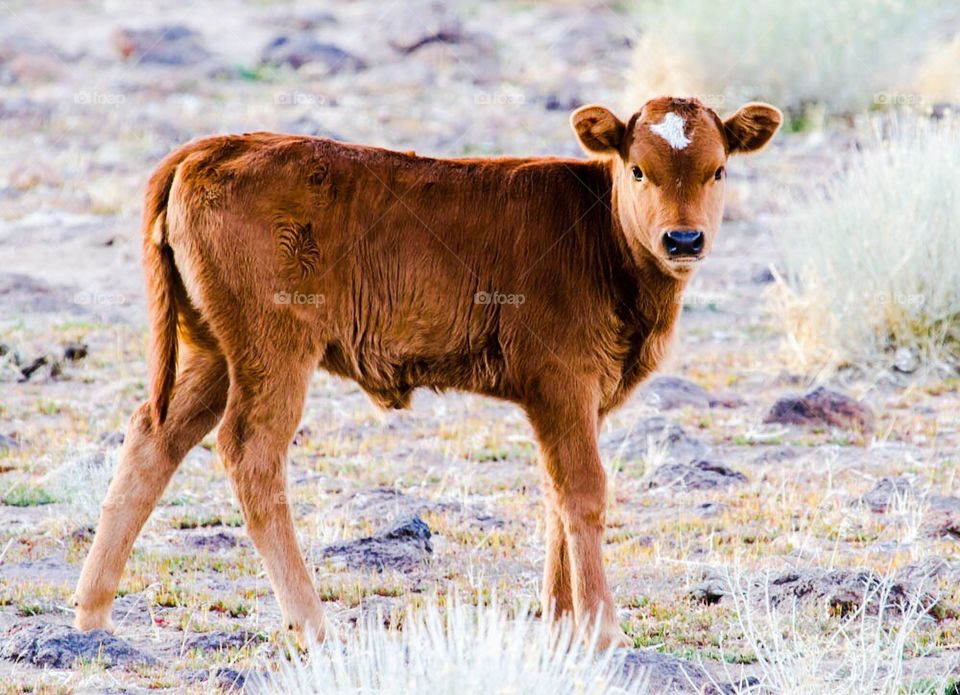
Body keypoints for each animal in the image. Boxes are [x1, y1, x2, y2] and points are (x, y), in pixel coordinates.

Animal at [72, 96, 781, 649]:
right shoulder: (562, 385)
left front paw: (560, 624)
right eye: (637, 170)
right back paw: (313, 625)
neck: (599, 234)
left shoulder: (578, 402)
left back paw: (92, 614)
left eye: (718, 170)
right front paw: (602, 629)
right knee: (250, 452)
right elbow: (583, 492)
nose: (683, 240)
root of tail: (213, 147)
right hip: (273, 351)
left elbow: (556, 496)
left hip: (212, 353)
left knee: (154, 438)